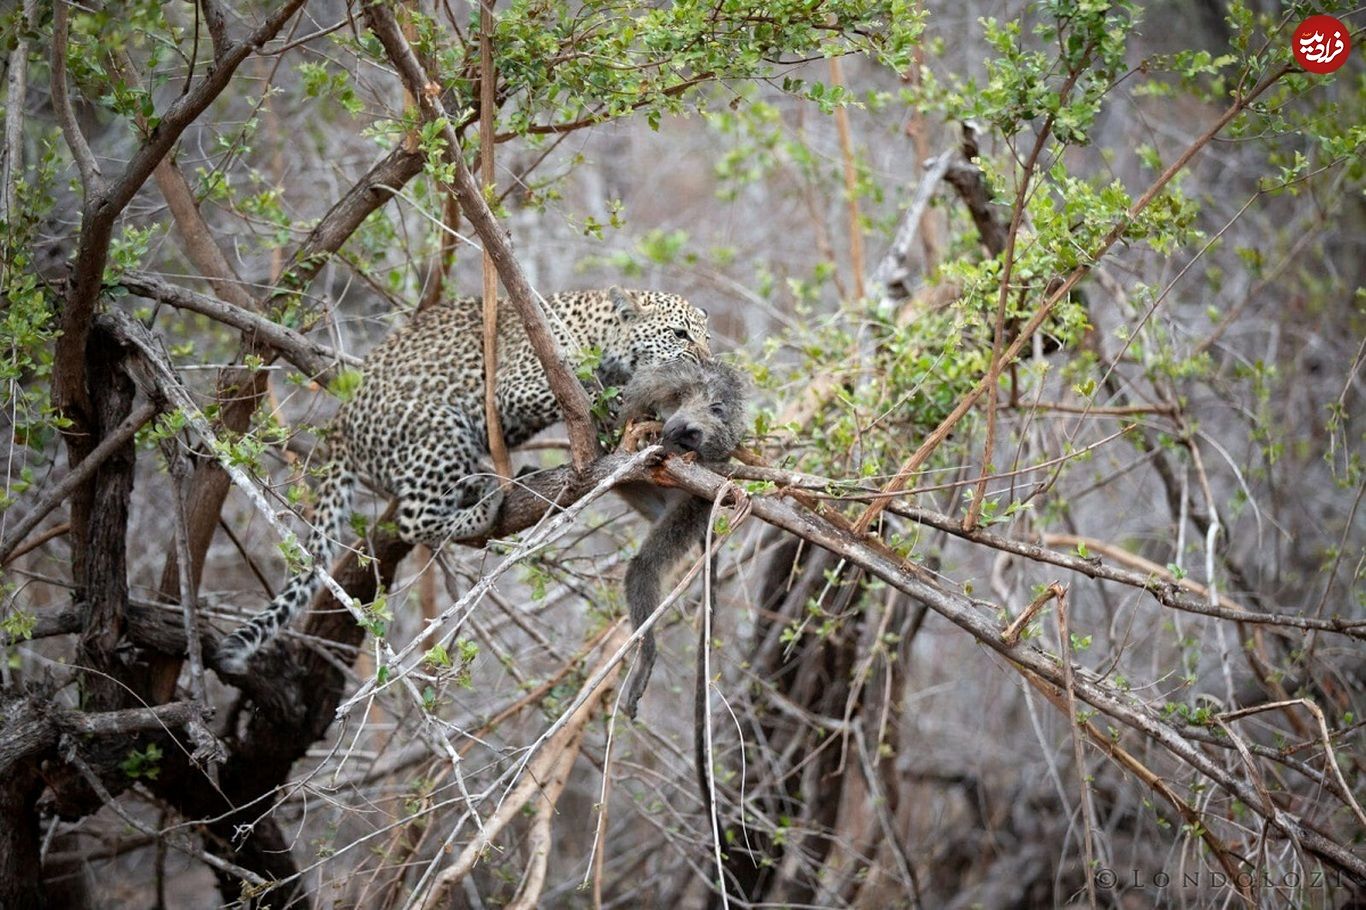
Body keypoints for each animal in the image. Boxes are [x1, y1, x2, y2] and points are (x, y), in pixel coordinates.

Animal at [214, 286, 710, 669]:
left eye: (705, 337)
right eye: (678, 334)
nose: (706, 363)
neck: (603, 332)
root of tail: (339, 426)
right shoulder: (518, 384)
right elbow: (589, 387)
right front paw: (624, 401)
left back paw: (482, 486)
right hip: (439, 425)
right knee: (413, 519)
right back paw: (485, 504)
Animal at [617, 355, 754, 715]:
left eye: (692, 439)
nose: (679, 439)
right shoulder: (676, 380)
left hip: (691, 506)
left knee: (644, 566)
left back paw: (646, 657)